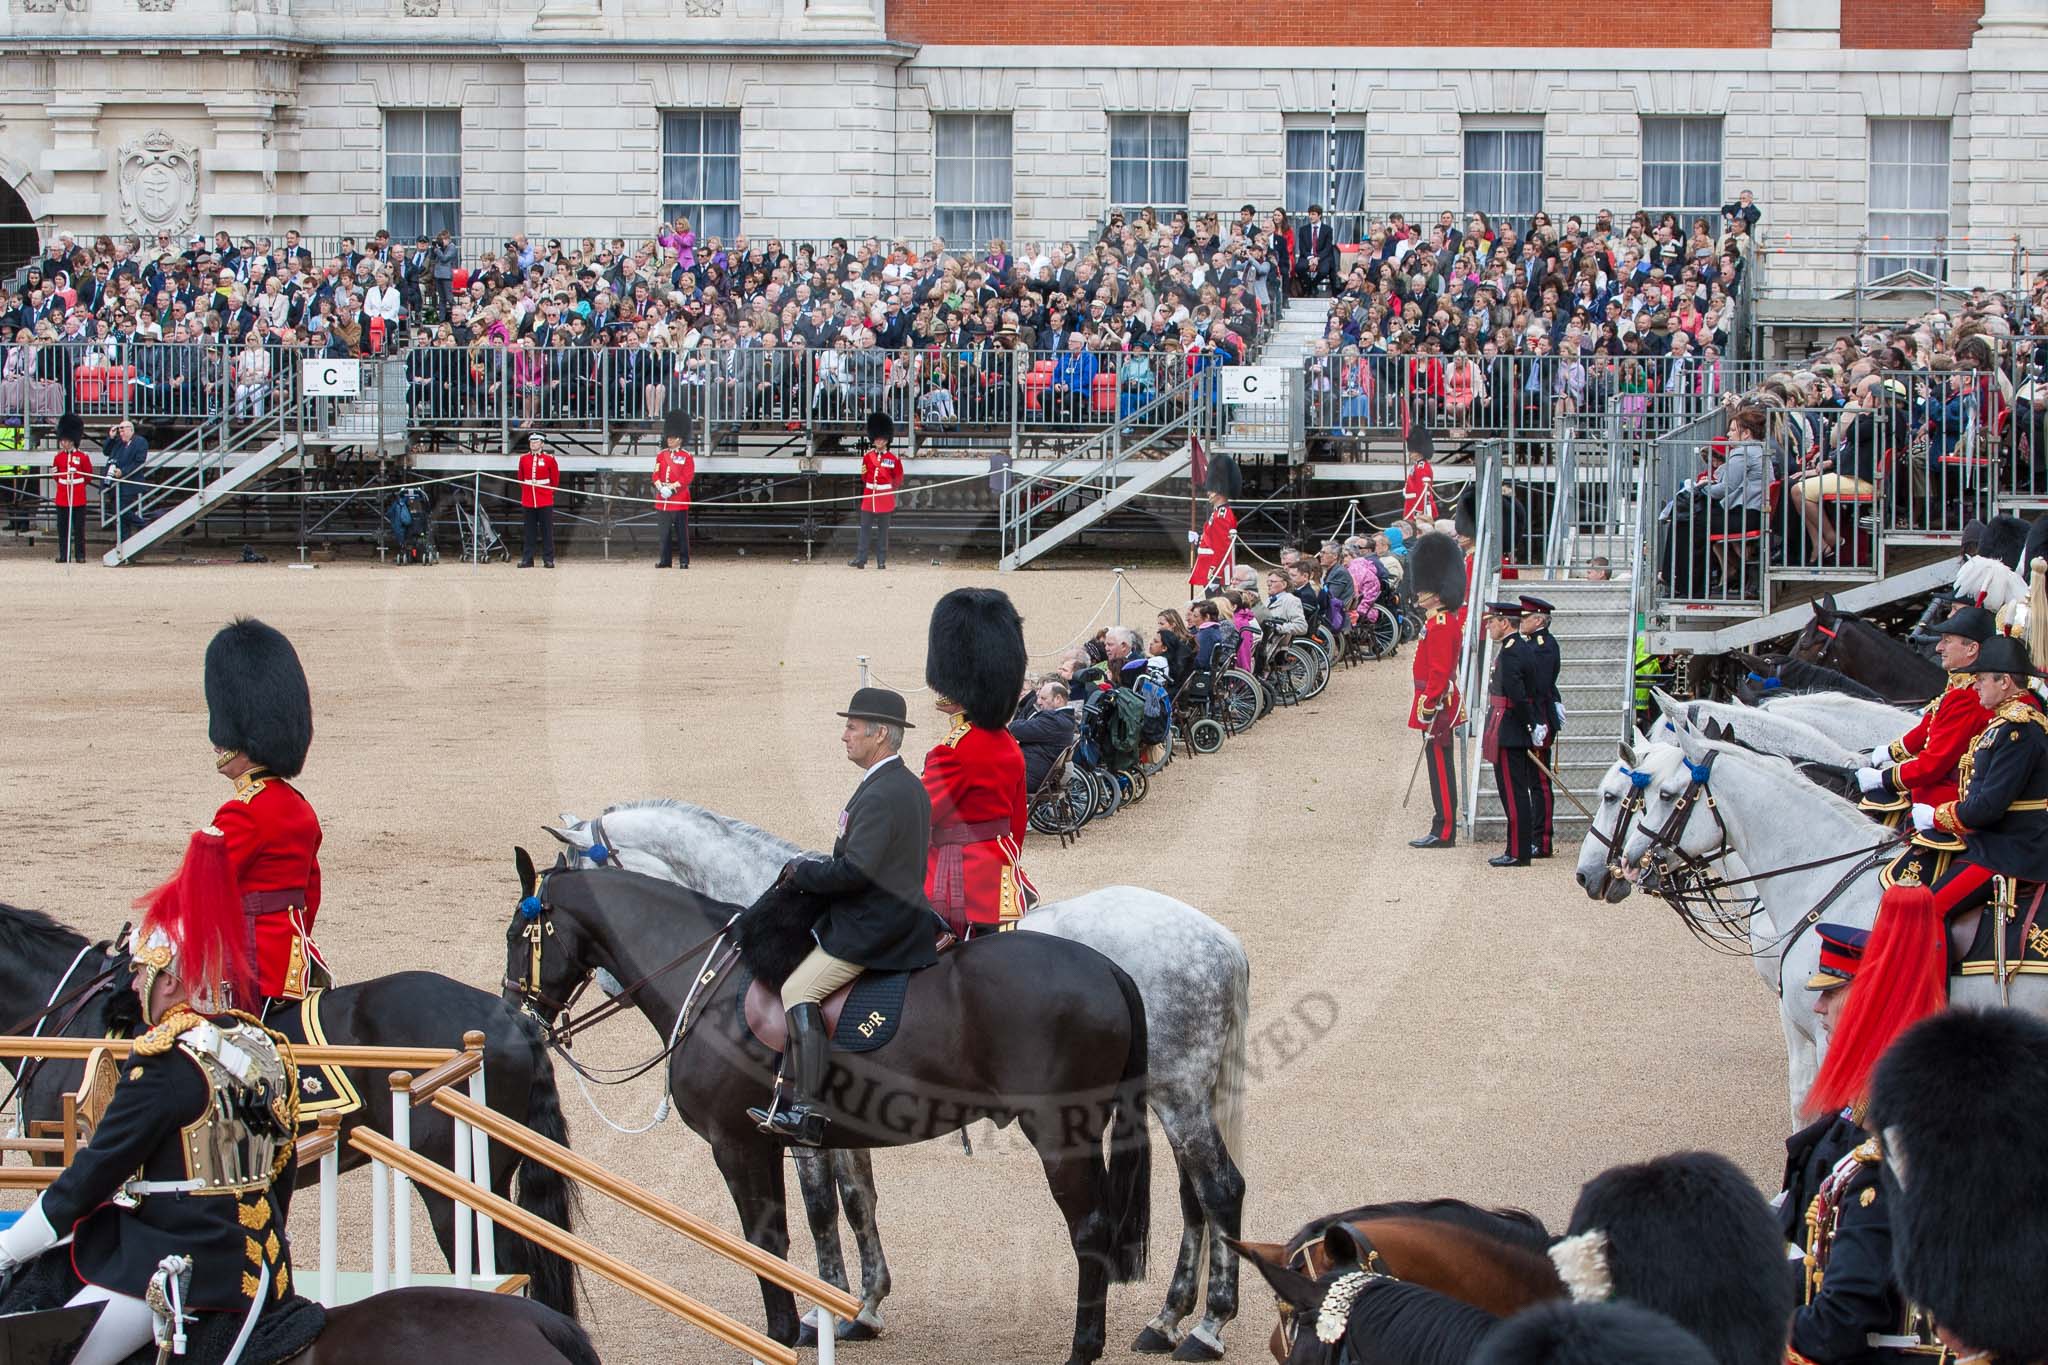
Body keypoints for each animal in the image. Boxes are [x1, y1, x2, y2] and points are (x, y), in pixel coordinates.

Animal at [544, 802, 1245, 1365]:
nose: (607, 982)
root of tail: (1220, 940)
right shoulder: (836, 1124)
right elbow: (858, 1201)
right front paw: (865, 1304)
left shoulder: (785, 1128)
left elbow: (821, 1211)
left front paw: (820, 1309)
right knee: (1197, 1197)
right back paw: (1169, 1318)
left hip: (1171, 1096)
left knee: (1216, 1190)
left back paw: (1204, 1325)